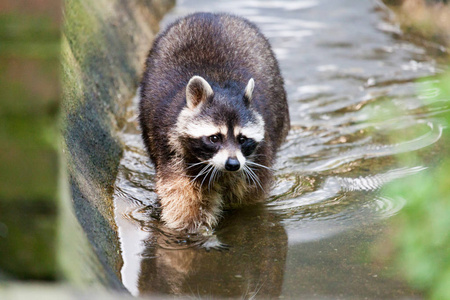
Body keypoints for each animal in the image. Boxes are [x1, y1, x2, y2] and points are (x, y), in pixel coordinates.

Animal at [139, 12, 290, 232]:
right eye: (215, 138)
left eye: (242, 138)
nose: (232, 164)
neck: (222, 86)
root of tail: (212, 14)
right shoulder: (171, 146)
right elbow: (182, 197)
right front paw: (190, 227)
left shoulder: (260, 153)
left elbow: (249, 196)